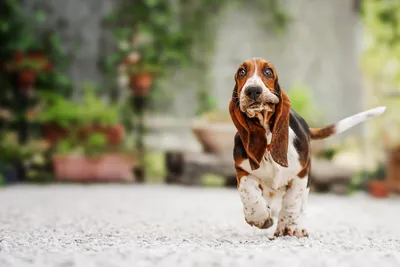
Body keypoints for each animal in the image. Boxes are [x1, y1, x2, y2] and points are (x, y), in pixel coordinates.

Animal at [230, 58, 386, 239]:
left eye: (268, 72)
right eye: (241, 72)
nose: (253, 90)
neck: (268, 140)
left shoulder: (301, 174)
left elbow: (292, 201)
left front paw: (288, 226)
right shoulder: (242, 169)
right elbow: (248, 190)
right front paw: (259, 217)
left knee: (301, 205)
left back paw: (296, 227)